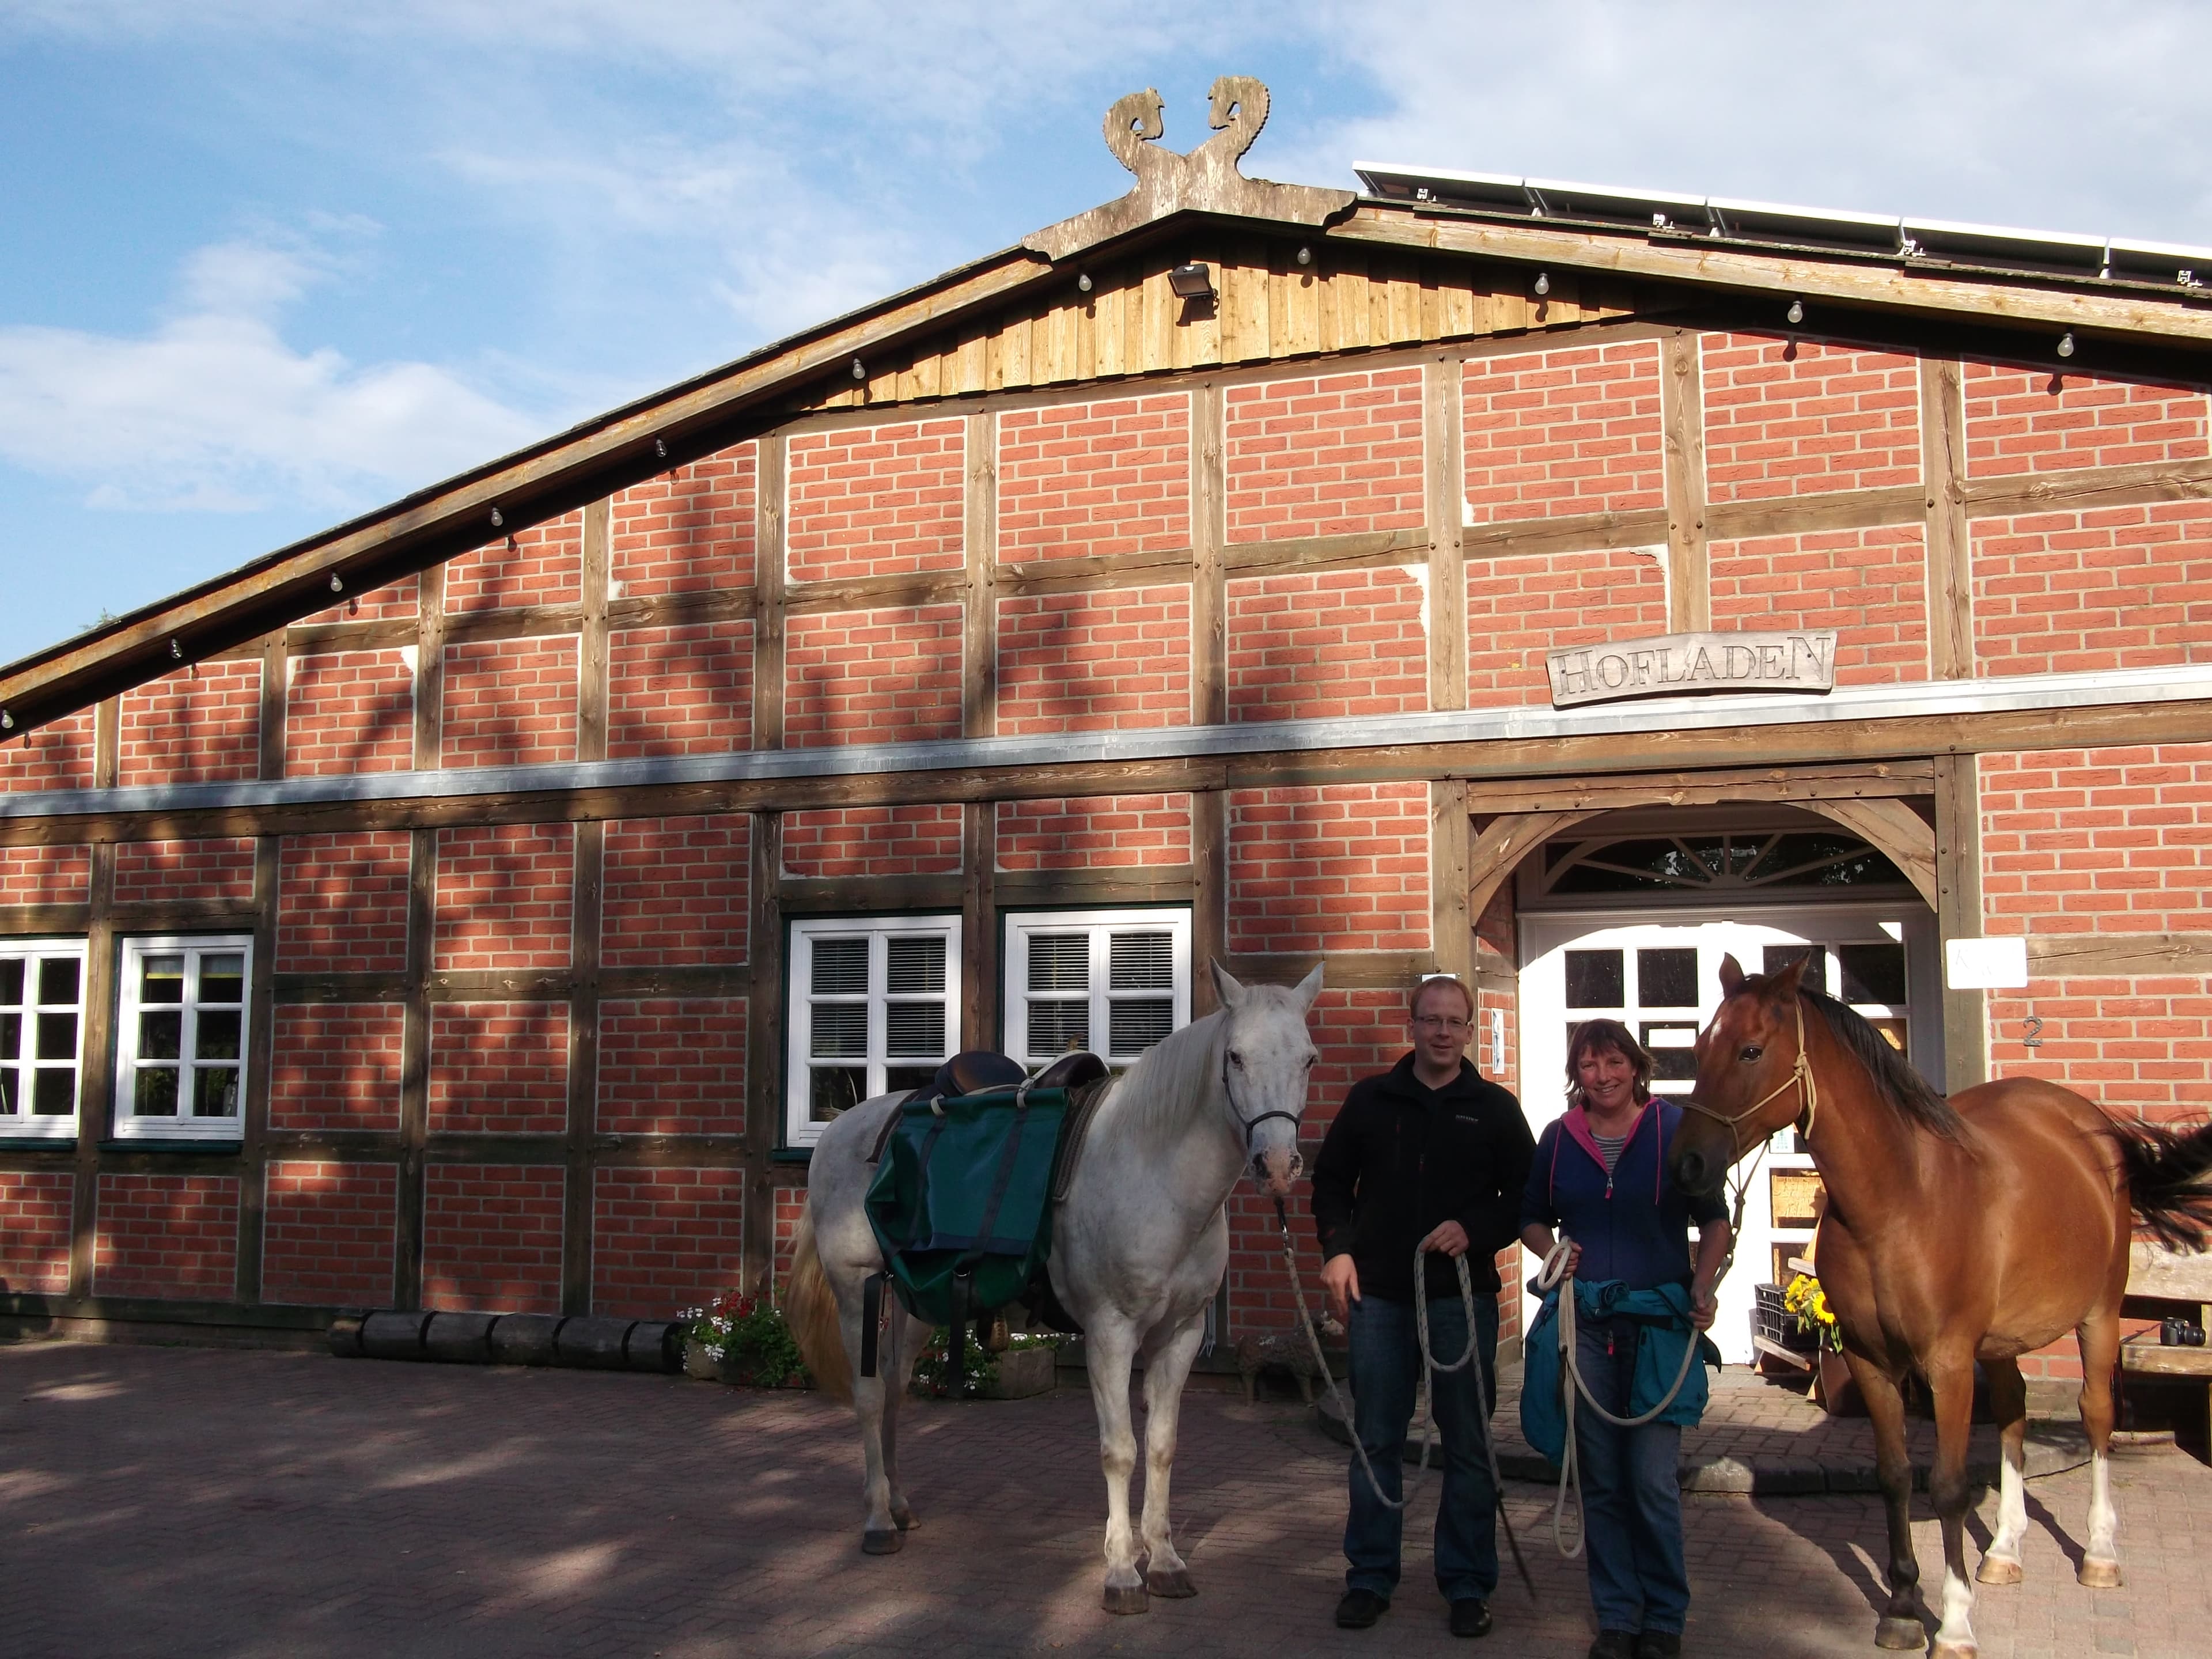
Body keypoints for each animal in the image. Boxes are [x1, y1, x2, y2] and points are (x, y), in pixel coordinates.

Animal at [791, 960, 1318, 1610]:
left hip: (916, 1304)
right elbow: (1120, 1450)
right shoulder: (1110, 1333)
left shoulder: (1181, 1335)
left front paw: (1165, 1561)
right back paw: (878, 1521)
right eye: (1236, 1057)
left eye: (1309, 1060)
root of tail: (844, 1128)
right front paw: (1122, 1572)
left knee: (893, 1390)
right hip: (855, 1294)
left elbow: (1162, 1446)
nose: (1278, 1166)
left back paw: (900, 1504)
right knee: (868, 1397)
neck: (1152, 1172)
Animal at [1672, 955, 2212, 1659]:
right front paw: (1903, 1607)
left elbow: (1949, 1486)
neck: (1898, 1200)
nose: (1686, 1164)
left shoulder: (1949, 1364)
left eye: (1751, 1050)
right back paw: (2004, 1551)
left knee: (2097, 1417)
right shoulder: (1872, 1362)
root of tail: (2087, 1127)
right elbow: (1896, 1475)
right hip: (2003, 1343)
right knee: (2013, 1414)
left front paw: (1953, 1624)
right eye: (1699, 1049)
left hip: (2099, 1315)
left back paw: (2099, 1555)